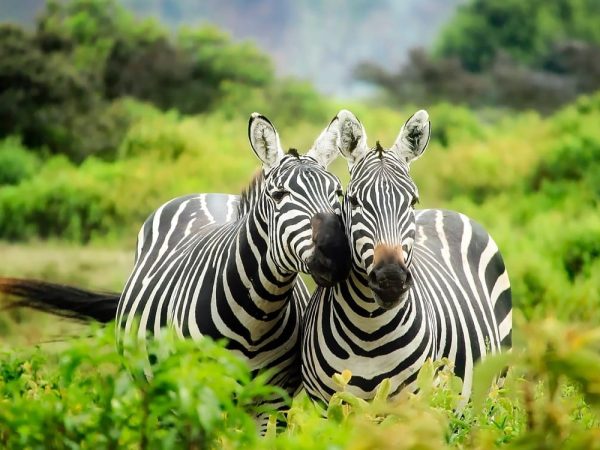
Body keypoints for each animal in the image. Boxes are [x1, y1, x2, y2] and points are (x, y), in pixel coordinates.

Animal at [0, 112, 352, 422]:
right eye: (279, 195)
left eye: (337, 192)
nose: (336, 253)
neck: (257, 315)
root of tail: (207, 194)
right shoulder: (197, 392)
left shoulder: (272, 401)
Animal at [302, 110, 512, 408]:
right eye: (353, 201)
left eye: (412, 201)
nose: (391, 279)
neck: (368, 331)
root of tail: (445, 211)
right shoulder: (326, 406)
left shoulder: (411, 404)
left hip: (493, 388)